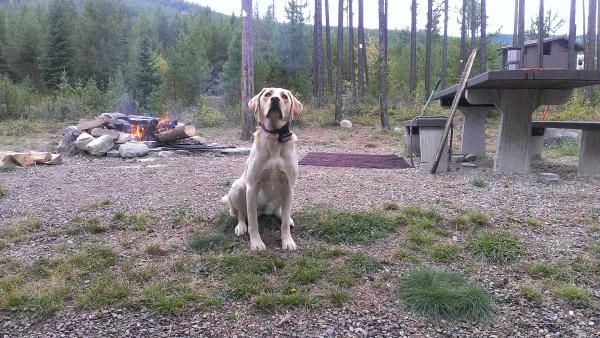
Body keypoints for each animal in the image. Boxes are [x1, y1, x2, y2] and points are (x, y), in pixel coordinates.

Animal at [221, 87, 302, 251]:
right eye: (267, 94)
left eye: (284, 96)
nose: (275, 99)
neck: (275, 137)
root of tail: (265, 211)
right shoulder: (252, 187)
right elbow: (253, 222)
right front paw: (256, 242)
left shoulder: (289, 186)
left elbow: (284, 223)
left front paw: (287, 240)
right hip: (238, 187)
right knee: (241, 214)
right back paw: (241, 226)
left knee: (280, 212)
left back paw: (287, 218)